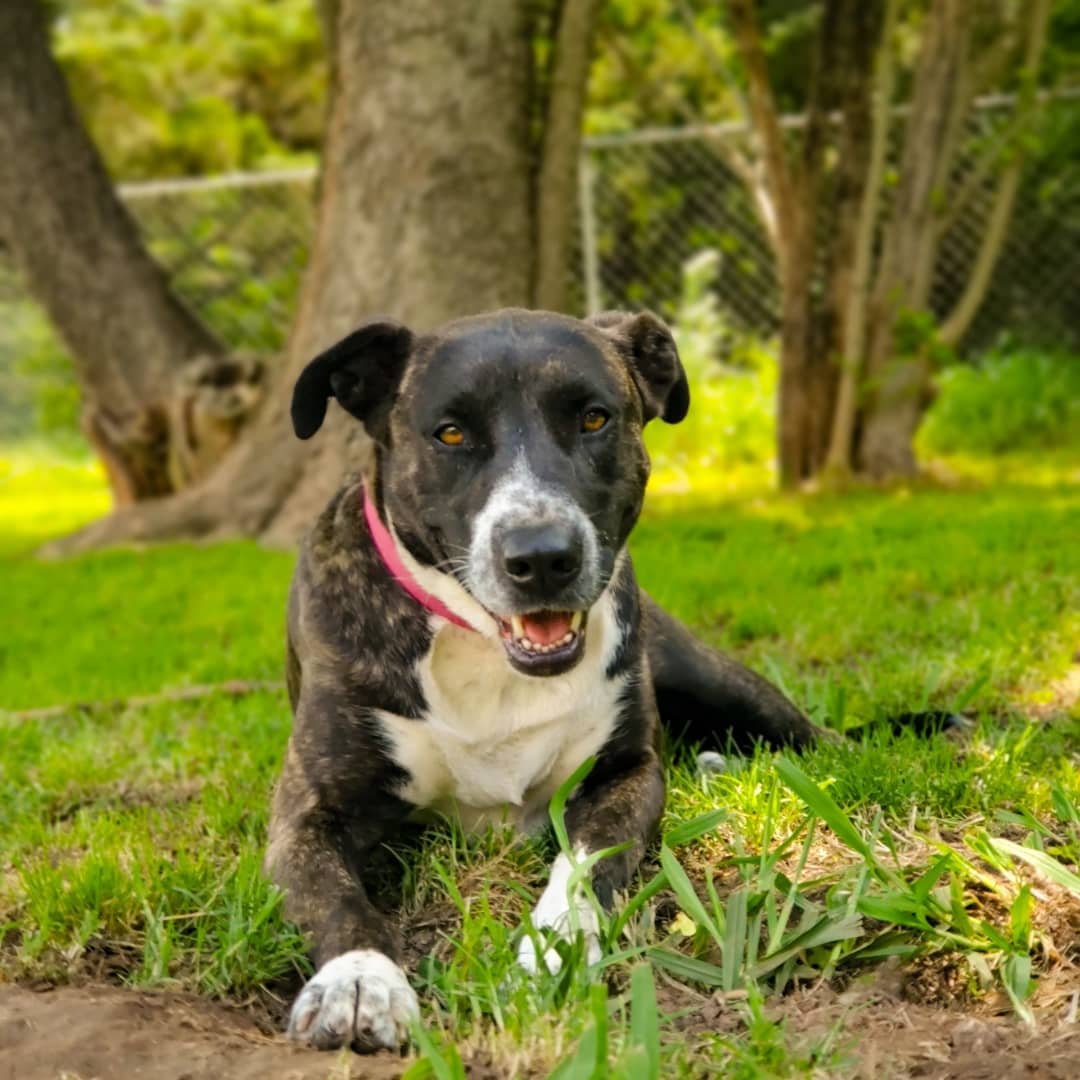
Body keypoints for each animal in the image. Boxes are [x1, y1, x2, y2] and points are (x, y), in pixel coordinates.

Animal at [265, 308, 812, 1049]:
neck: (484, 650)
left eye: (593, 419)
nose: (543, 556)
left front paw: (553, 949)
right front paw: (359, 978)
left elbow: (587, 861)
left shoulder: (626, 775)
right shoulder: (306, 813)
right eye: (450, 432)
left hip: (709, 676)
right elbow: (337, 896)